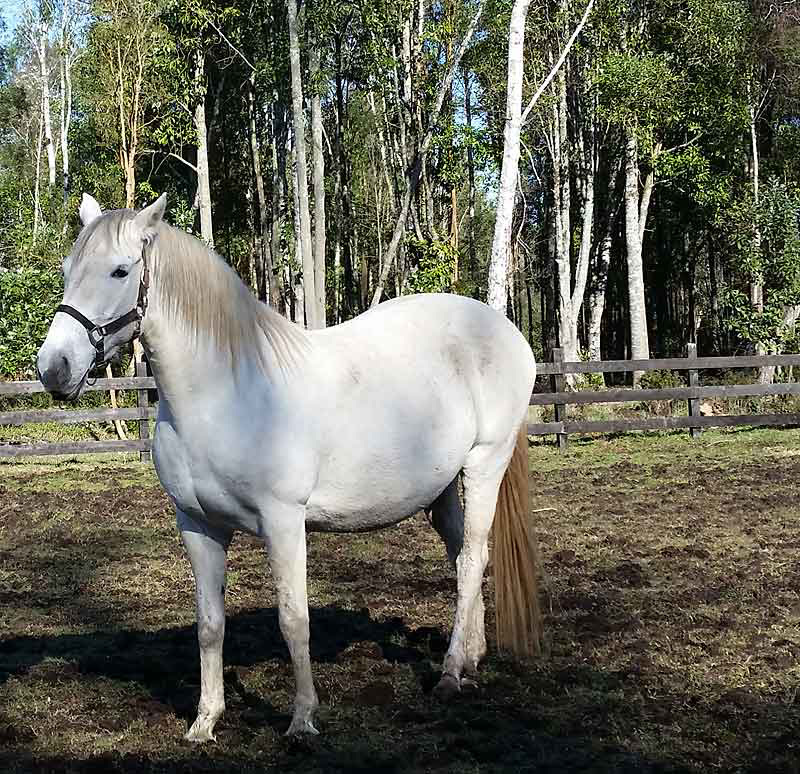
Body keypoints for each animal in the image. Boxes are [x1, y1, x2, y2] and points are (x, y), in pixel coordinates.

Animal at [36, 192, 536, 740]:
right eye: (67, 270)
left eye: (120, 271)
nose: (54, 369)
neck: (225, 395)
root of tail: (504, 329)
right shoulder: (198, 525)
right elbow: (209, 625)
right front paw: (205, 721)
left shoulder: (284, 522)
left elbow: (293, 619)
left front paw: (302, 720)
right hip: (440, 488)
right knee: (465, 555)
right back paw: (470, 659)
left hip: (484, 464)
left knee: (470, 560)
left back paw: (448, 675)